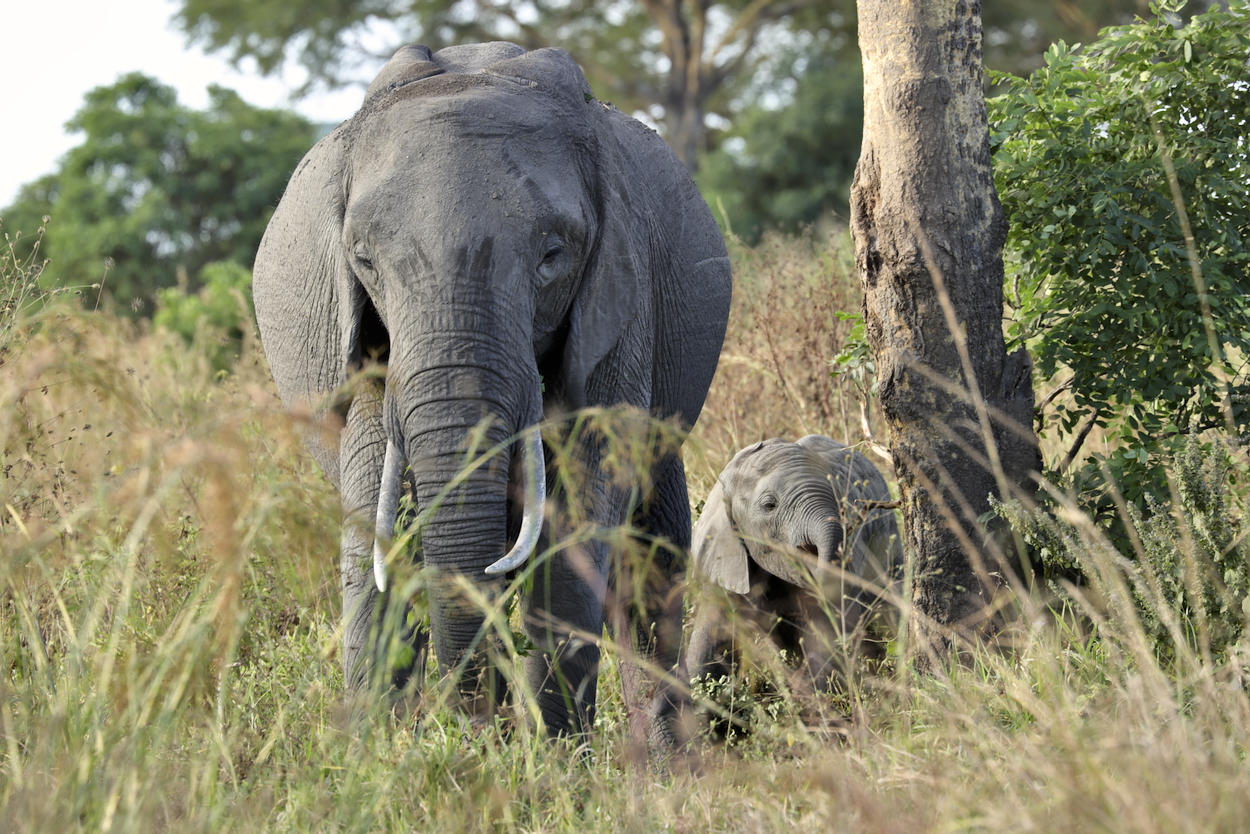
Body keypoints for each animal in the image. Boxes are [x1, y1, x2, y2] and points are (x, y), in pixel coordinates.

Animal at [253, 42, 730, 755]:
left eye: (553, 255)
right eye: (363, 260)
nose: (472, 733)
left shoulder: (621, 303)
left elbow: (579, 517)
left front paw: (558, 761)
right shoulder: (363, 339)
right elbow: (374, 526)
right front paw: (378, 758)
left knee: (649, 551)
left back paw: (667, 760)